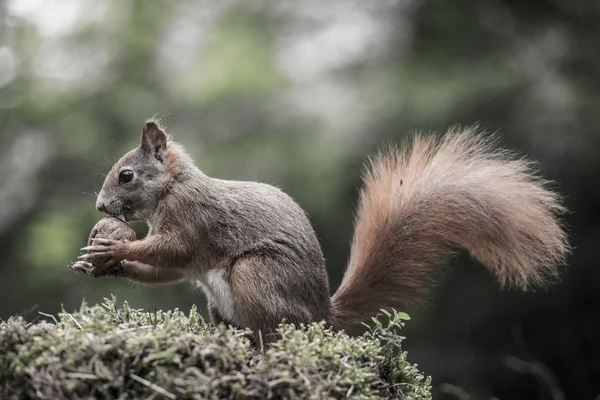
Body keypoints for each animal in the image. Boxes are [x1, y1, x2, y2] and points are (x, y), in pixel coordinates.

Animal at [78, 119, 568, 344]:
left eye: (126, 176)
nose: (100, 207)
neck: (172, 188)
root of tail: (321, 316)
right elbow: (169, 271)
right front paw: (103, 265)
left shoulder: (194, 220)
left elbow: (172, 250)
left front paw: (109, 251)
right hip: (222, 304)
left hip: (256, 276)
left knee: (272, 336)